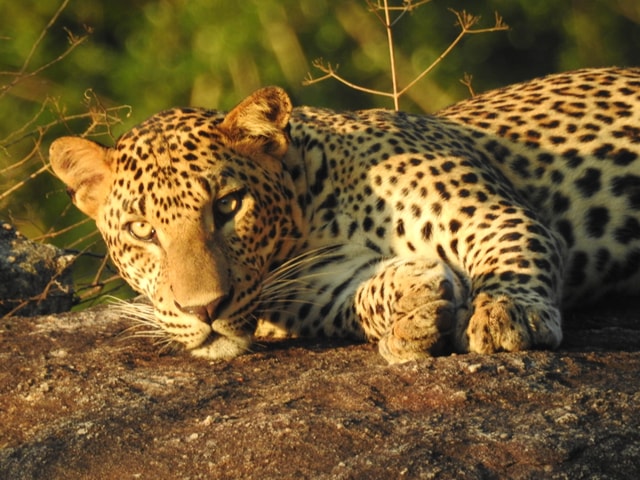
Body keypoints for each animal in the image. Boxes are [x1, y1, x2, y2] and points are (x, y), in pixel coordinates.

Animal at [49, 67, 640, 363]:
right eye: (142, 230)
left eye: (228, 205)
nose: (204, 310)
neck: (312, 215)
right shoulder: (306, 295)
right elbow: (355, 298)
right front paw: (413, 307)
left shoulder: (488, 212)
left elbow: (512, 251)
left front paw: (506, 315)